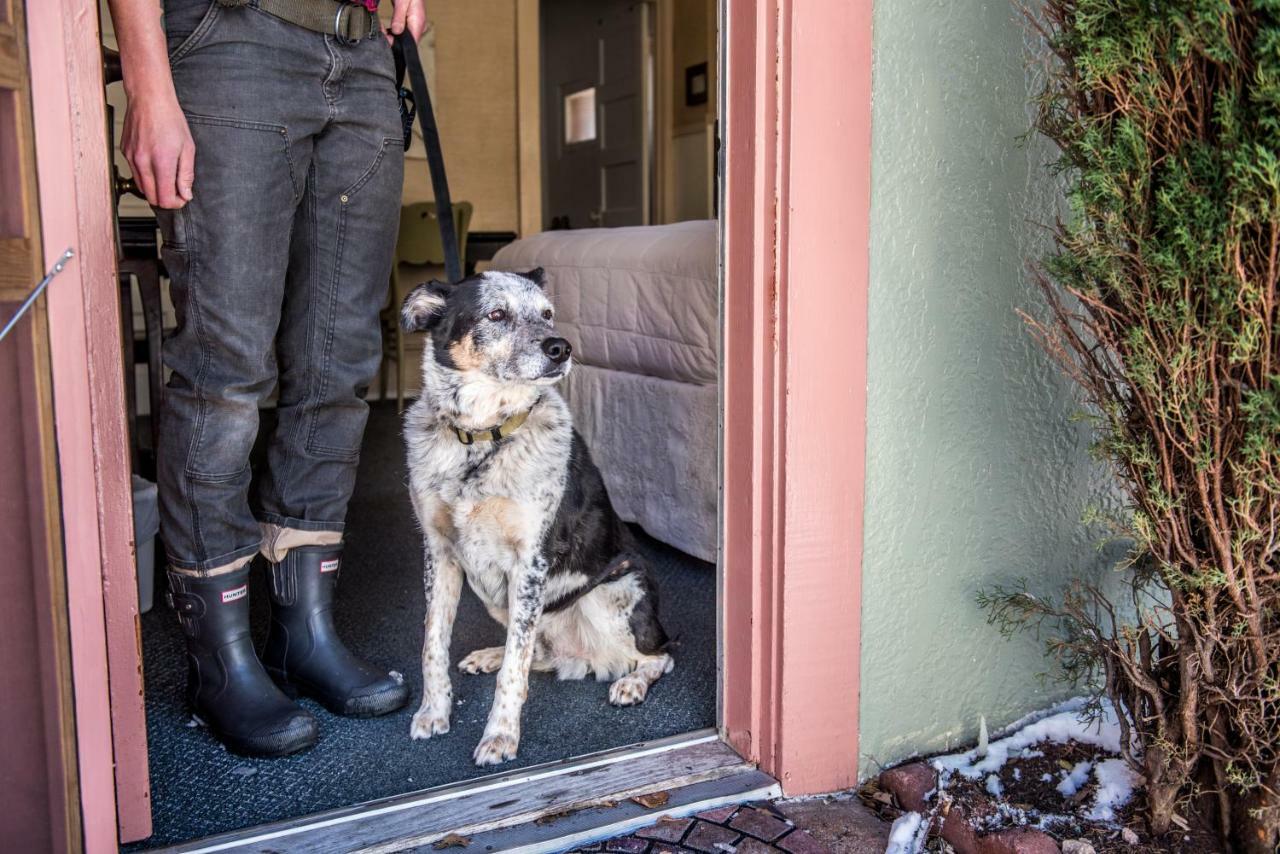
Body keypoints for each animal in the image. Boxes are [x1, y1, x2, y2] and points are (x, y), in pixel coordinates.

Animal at [401, 270, 675, 763]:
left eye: (547, 314)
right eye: (496, 314)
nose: (560, 347)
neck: (481, 436)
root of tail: (582, 659)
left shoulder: (530, 560)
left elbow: (515, 670)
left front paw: (500, 736)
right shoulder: (440, 553)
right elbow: (434, 644)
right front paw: (433, 713)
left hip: (613, 592)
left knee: (659, 654)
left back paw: (631, 683)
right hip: (498, 597)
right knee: (536, 651)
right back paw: (490, 655)